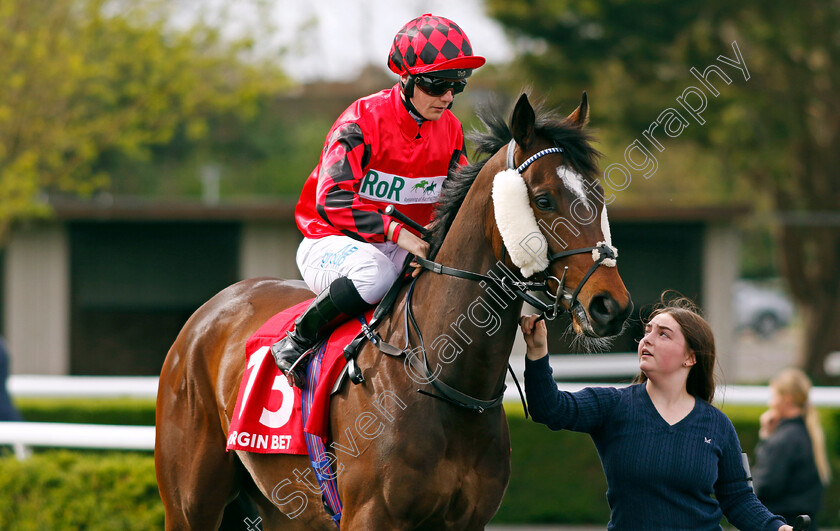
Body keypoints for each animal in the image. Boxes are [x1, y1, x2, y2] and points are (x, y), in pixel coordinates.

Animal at [156, 93, 632, 528]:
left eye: (597, 195)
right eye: (544, 199)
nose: (610, 306)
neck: (441, 378)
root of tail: (208, 313)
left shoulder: (467, 520)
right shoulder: (370, 515)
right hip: (190, 504)